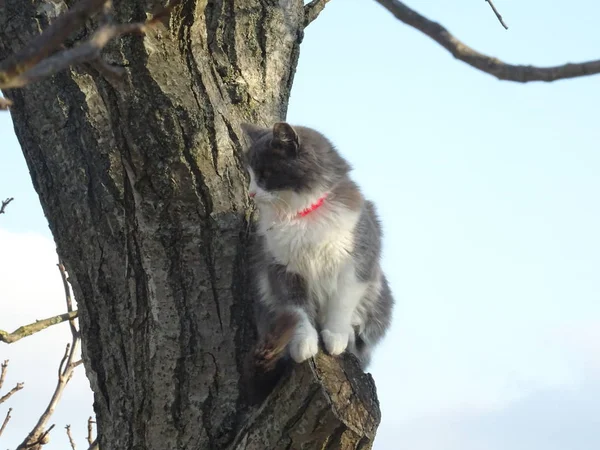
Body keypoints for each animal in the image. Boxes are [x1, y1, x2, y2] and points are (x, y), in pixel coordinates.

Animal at [239, 120, 394, 370]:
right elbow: (297, 311)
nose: (252, 193)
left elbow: (341, 305)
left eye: (265, 173)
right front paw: (304, 345)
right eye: (251, 174)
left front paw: (336, 338)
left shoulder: (356, 264)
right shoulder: (283, 270)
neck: (303, 216)